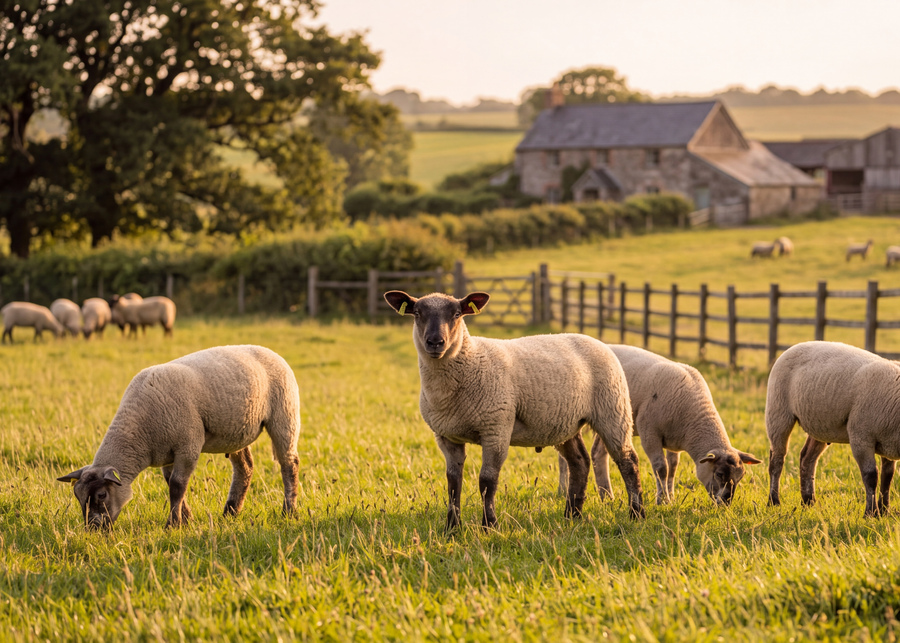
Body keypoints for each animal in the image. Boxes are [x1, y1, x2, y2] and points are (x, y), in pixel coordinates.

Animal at [57, 345, 301, 529]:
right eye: (78, 496)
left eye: (101, 495)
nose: (93, 529)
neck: (138, 432)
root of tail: (269, 351)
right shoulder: (166, 452)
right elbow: (170, 484)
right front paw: (186, 519)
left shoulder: (188, 445)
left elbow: (177, 485)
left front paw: (173, 524)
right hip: (236, 432)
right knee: (245, 468)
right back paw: (230, 512)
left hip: (284, 415)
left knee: (289, 464)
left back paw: (289, 511)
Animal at [383, 289, 645, 532]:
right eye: (417, 313)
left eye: (456, 314)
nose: (435, 342)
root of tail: (596, 340)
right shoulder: (446, 436)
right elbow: (453, 482)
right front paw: (452, 528)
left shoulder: (496, 428)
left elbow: (487, 481)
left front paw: (489, 526)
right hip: (565, 423)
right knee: (580, 461)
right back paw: (572, 515)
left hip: (612, 409)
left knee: (627, 461)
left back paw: (636, 514)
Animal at [558, 345, 762, 505]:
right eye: (719, 474)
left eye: (741, 476)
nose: (726, 502)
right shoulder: (650, 434)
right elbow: (661, 468)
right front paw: (662, 500)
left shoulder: (674, 441)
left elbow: (672, 468)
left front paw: (671, 497)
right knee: (563, 459)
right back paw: (563, 489)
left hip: (611, 423)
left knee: (598, 453)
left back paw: (607, 497)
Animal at [767, 340, 900, 517]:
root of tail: (797, 345)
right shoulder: (861, 437)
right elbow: (871, 476)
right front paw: (870, 513)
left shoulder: (888, 442)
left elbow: (887, 477)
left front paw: (884, 511)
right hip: (778, 413)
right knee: (777, 460)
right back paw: (774, 501)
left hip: (819, 424)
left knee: (807, 459)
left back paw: (809, 502)